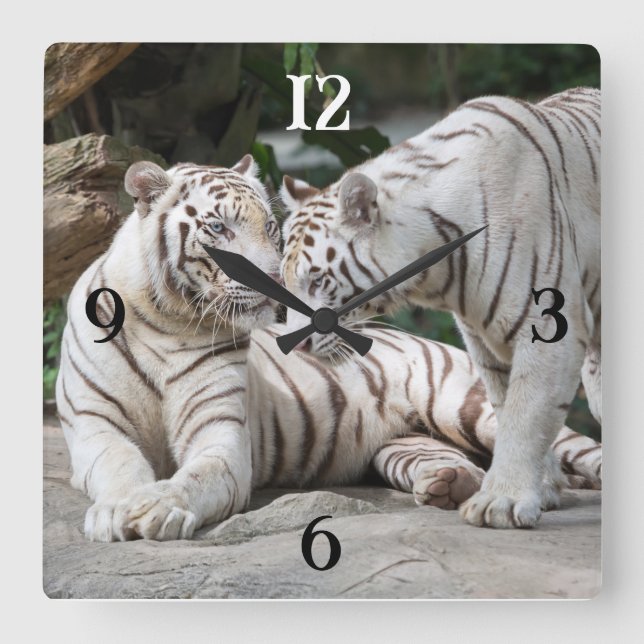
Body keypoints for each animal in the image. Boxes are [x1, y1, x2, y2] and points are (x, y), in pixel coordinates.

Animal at [55, 155, 601, 542]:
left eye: (269, 228)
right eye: (218, 228)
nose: (275, 282)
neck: (164, 321)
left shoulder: (221, 434)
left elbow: (196, 475)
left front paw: (157, 506)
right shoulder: (95, 427)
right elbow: (120, 467)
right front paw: (119, 509)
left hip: (466, 404)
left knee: (549, 447)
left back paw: (536, 492)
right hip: (401, 445)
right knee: (456, 461)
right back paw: (451, 485)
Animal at [279, 87, 601, 529]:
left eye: (316, 280)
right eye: (284, 283)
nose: (295, 346)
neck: (438, 269)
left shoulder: (549, 326)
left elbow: (527, 413)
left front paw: (502, 502)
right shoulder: (486, 341)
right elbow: (507, 409)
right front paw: (542, 490)